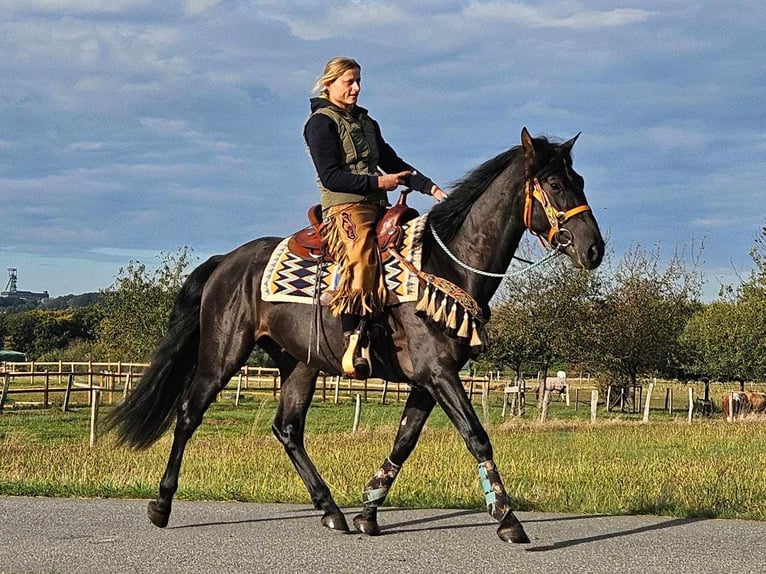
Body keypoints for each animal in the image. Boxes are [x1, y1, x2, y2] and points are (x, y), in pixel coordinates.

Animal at [105, 126, 608, 544]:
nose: (594, 249)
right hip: (222, 353)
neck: (445, 266)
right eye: (556, 184)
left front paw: (368, 511)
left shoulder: (427, 380)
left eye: (581, 180)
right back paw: (161, 505)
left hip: (299, 364)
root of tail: (225, 262)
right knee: (189, 415)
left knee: (287, 429)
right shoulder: (439, 373)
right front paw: (507, 519)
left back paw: (331, 510)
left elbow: (405, 440)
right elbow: (477, 435)